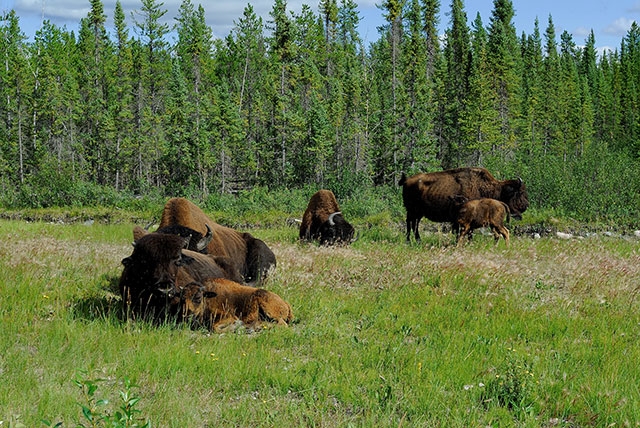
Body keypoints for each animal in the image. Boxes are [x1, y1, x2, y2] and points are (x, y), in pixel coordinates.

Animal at [398, 166, 528, 241]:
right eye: (520, 192)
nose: (526, 205)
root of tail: (407, 180)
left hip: (418, 213)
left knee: (414, 224)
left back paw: (417, 240)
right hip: (412, 211)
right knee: (410, 224)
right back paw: (410, 241)